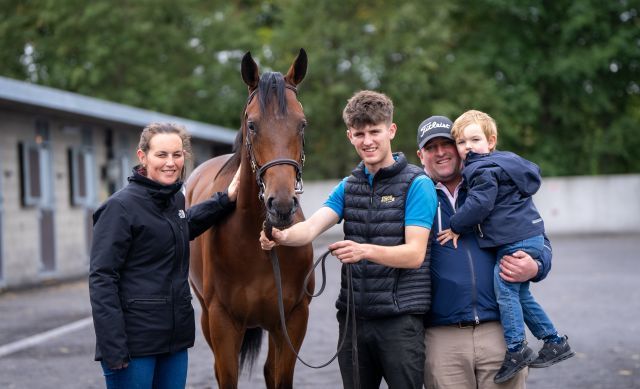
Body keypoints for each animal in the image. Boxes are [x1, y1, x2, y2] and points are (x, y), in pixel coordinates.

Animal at [185, 49, 316, 388]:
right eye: (253, 125)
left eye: (302, 124)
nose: (280, 205)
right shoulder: (222, 321)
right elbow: (227, 377)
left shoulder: (292, 318)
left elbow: (280, 377)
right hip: (206, 316)